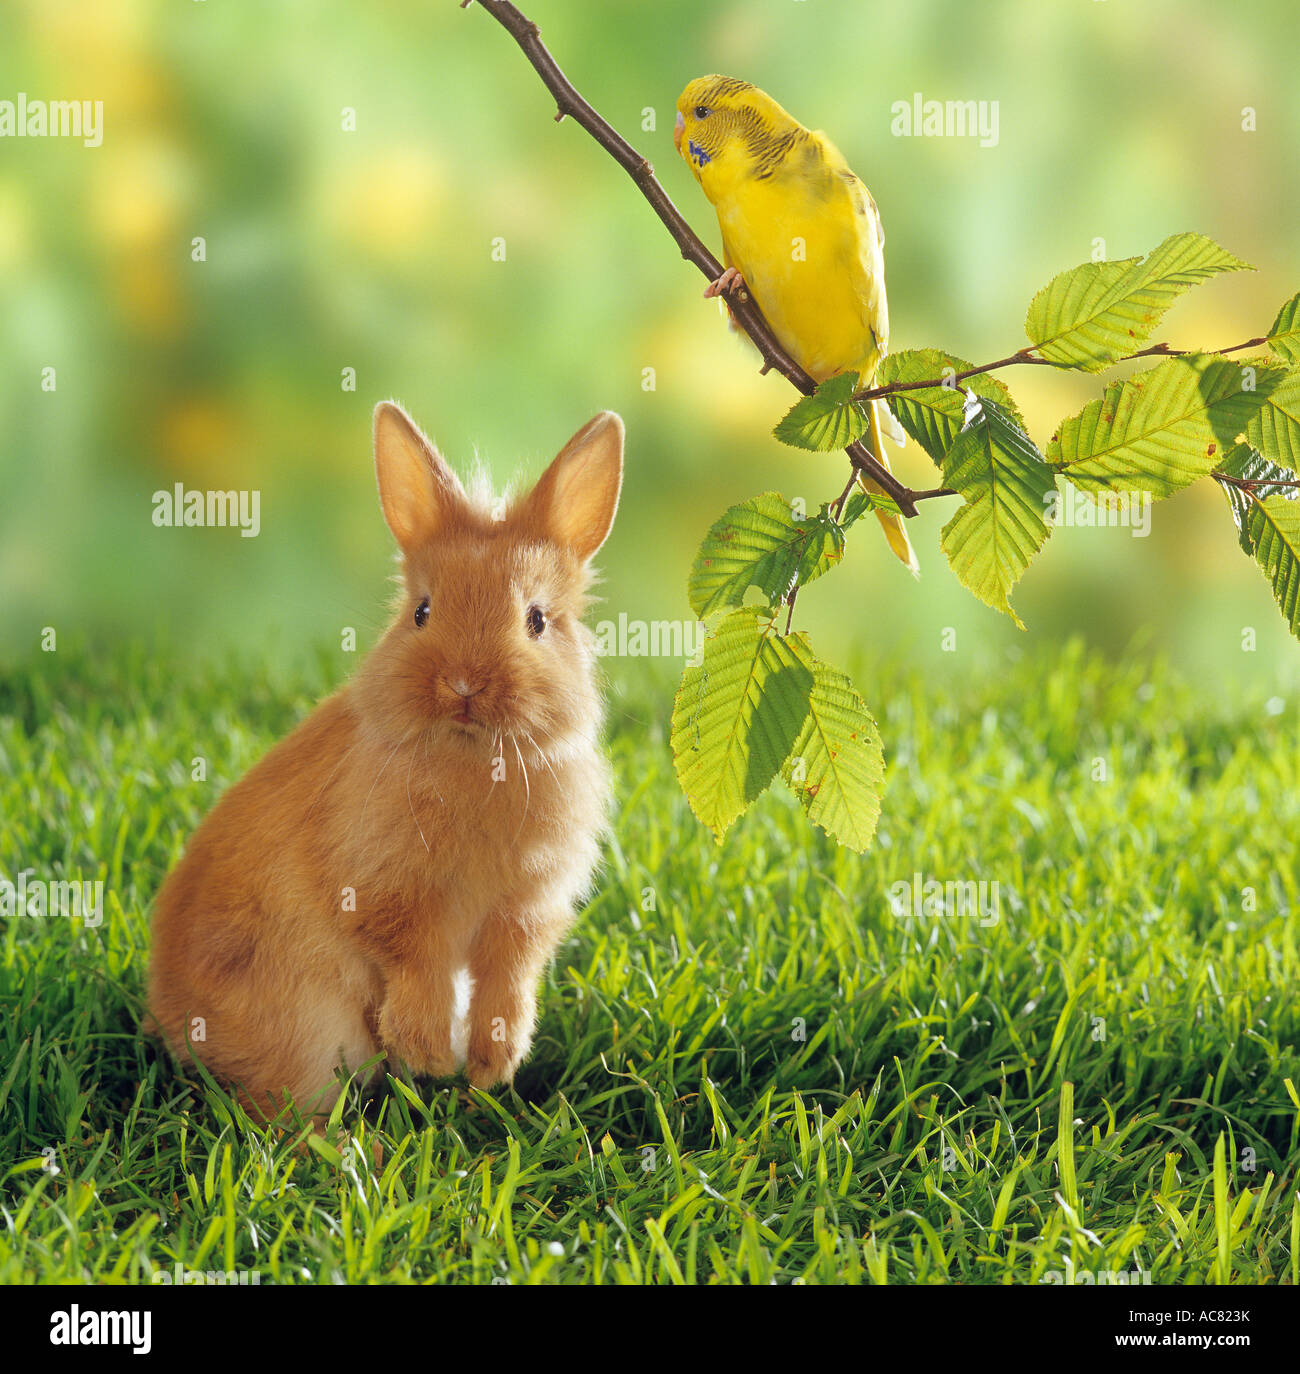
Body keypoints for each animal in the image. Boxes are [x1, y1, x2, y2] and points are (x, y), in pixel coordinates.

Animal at [146, 400, 624, 1119]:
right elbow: (416, 964)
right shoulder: (393, 897)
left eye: (537, 620)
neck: (475, 755)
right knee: (280, 1113)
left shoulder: (524, 912)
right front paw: (430, 1056)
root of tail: (170, 1020)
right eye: (421, 612)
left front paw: (490, 1067)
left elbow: (508, 979)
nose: (462, 685)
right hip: (307, 1028)